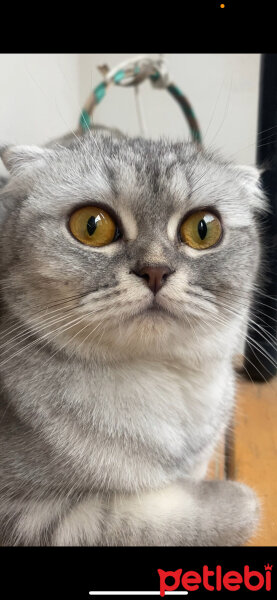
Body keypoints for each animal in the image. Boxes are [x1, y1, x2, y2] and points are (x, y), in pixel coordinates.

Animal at [0, 130, 264, 544]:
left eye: (203, 229)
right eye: (92, 225)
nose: (155, 270)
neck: (165, 380)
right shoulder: (27, 517)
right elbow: (138, 522)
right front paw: (237, 499)